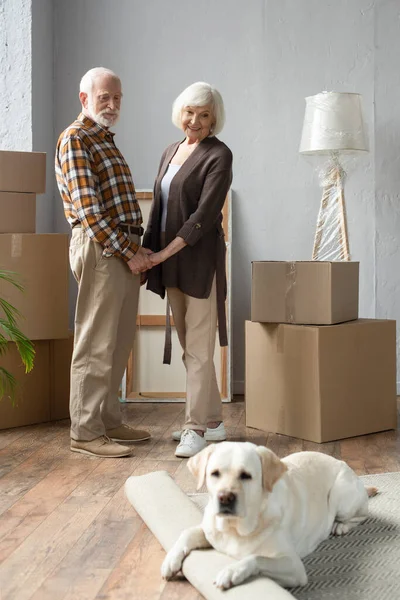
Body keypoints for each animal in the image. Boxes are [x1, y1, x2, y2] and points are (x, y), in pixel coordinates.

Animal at [161, 440, 376, 592]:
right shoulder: (211, 530)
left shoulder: (294, 566)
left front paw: (231, 572)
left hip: (340, 497)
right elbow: (187, 532)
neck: (236, 527)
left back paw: (340, 526)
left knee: (362, 514)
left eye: (246, 475)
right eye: (214, 473)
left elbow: (256, 557)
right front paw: (170, 561)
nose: (225, 498)